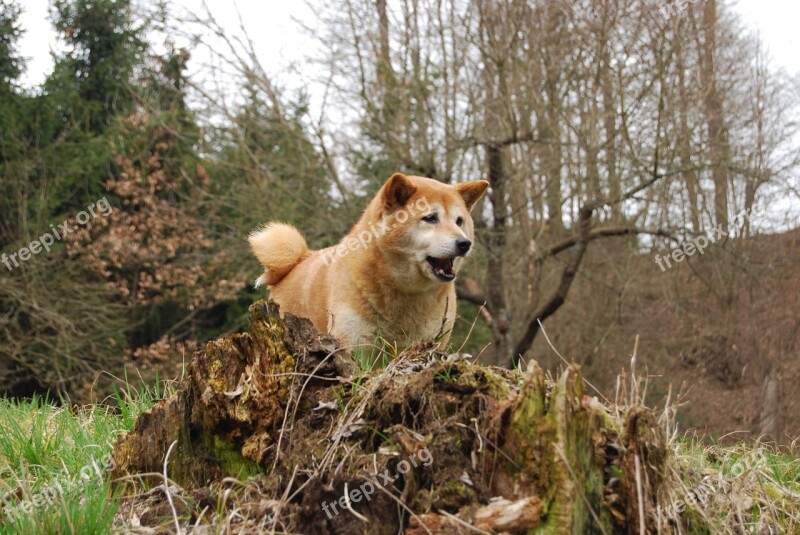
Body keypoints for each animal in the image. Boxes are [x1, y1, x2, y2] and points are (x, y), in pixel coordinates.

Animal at [248, 174, 488, 350]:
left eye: (459, 221)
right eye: (430, 218)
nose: (464, 243)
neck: (405, 293)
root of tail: (299, 261)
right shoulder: (353, 345)